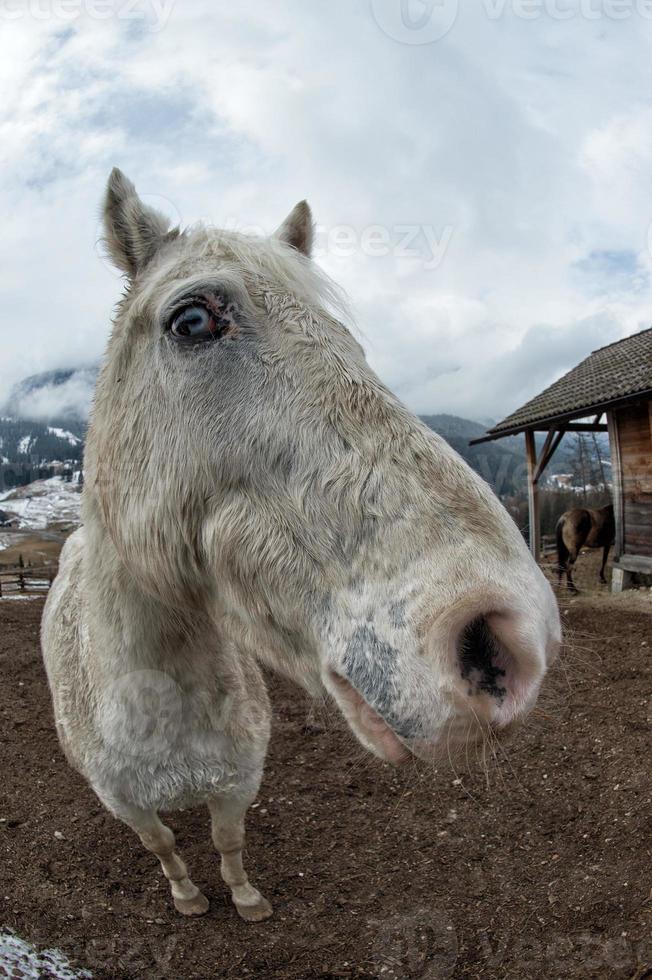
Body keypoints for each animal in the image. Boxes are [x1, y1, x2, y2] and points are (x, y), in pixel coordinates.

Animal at [40, 172, 560, 924]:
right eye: (191, 322)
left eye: (347, 338)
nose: (507, 636)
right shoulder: (126, 803)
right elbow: (165, 846)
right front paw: (189, 898)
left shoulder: (237, 783)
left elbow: (227, 841)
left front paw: (246, 898)